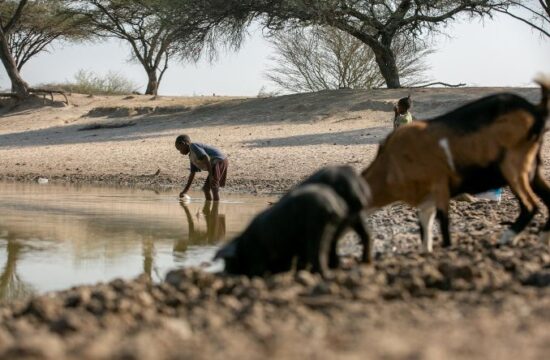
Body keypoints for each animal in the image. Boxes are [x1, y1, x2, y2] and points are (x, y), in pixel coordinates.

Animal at [362, 78, 550, 253]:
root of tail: (534, 110)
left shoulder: (439, 186)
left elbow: (444, 224)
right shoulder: (426, 199)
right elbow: (426, 227)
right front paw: (426, 252)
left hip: (513, 167)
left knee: (530, 205)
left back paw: (507, 238)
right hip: (532, 168)